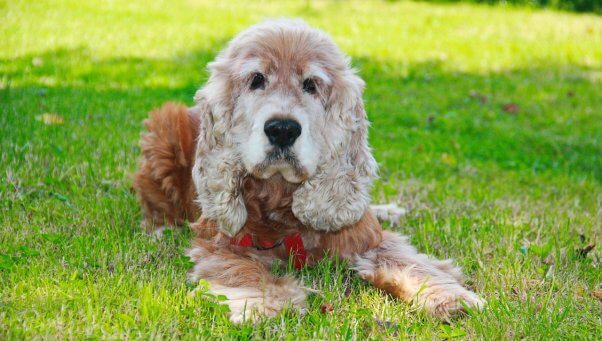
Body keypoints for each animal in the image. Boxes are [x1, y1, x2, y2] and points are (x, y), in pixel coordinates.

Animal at [132, 18, 482, 322]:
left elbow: (406, 260)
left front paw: (449, 296)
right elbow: (240, 269)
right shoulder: (218, 241)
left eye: (310, 84)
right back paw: (161, 229)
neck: (280, 196)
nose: (282, 129)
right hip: (164, 128)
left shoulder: (367, 239)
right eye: (256, 79)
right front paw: (266, 301)